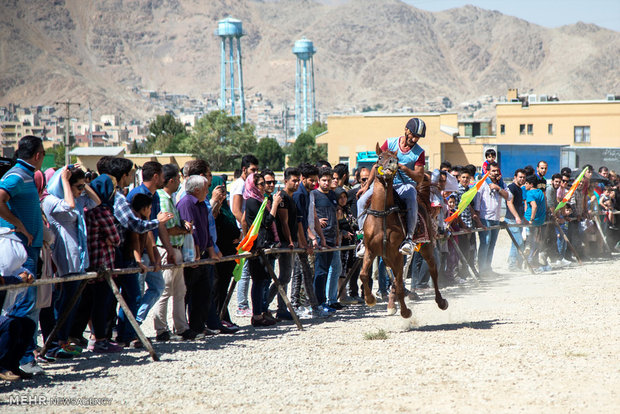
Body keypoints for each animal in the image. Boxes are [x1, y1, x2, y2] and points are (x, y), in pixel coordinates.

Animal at [356, 142, 448, 316]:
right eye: (380, 157)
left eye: (396, 159)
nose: (392, 164)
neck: (382, 216)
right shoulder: (371, 251)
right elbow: (364, 274)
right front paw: (370, 299)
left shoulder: (397, 254)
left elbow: (399, 284)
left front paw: (405, 312)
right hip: (387, 257)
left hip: (425, 247)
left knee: (433, 270)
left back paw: (441, 302)